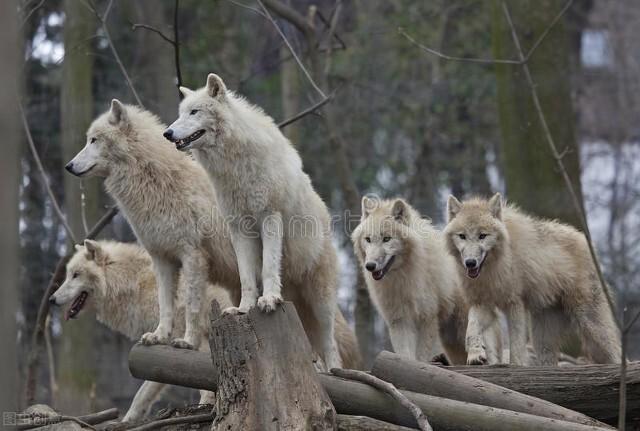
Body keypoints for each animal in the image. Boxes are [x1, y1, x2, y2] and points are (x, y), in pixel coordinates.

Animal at [48, 241, 360, 424]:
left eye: (75, 275)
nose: (51, 300)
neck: (134, 284)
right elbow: (144, 393)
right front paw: (128, 421)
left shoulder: (195, 340)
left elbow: (198, 383)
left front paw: (206, 407)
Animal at [65, 100, 241, 352]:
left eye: (94, 140)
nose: (68, 166)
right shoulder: (162, 258)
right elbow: (165, 304)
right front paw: (159, 336)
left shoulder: (193, 256)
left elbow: (191, 305)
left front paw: (187, 341)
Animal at [166, 75, 344, 372]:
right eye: (179, 113)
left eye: (194, 112)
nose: (167, 133)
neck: (233, 165)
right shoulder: (239, 227)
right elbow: (248, 275)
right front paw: (244, 308)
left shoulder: (269, 217)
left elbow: (269, 268)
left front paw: (269, 299)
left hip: (321, 300)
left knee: (331, 343)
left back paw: (335, 371)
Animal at [350, 197, 500, 366]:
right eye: (368, 239)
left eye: (386, 239)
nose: (370, 266)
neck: (403, 276)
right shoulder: (399, 320)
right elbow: (405, 354)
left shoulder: (427, 319)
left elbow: (421, 355)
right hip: (451, 341)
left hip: (463, 326)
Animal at [444, 194, 620, 366]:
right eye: (462, 236)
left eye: (482, 236)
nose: (470, 262)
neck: (492, 269)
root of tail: (585, 239)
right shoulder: (482, 304)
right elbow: (471, 328)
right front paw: (475, 354)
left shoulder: (514, 303)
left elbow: (516, 344)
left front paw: (515, 366)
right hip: (542, 338)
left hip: (590, 324)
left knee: (616, 353)